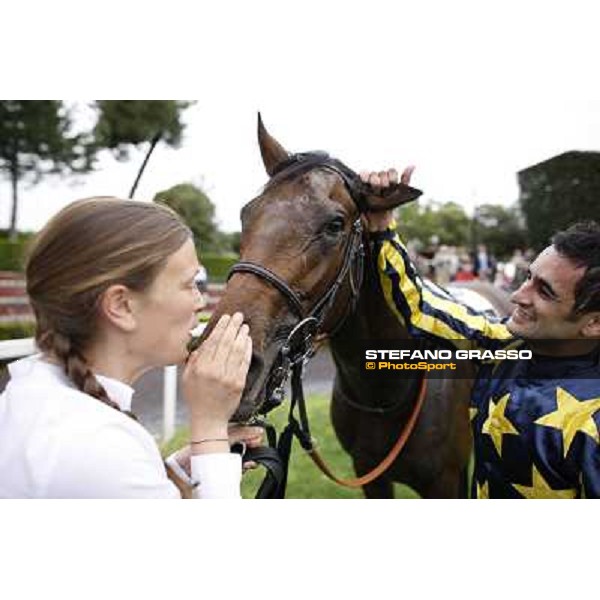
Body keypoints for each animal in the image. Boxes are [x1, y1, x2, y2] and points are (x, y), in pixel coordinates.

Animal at [204, 116, 508, 496]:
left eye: (335, 225)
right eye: (247, 214)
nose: (233, 365)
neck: (384, 394)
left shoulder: (446, 481)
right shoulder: (369, 472)